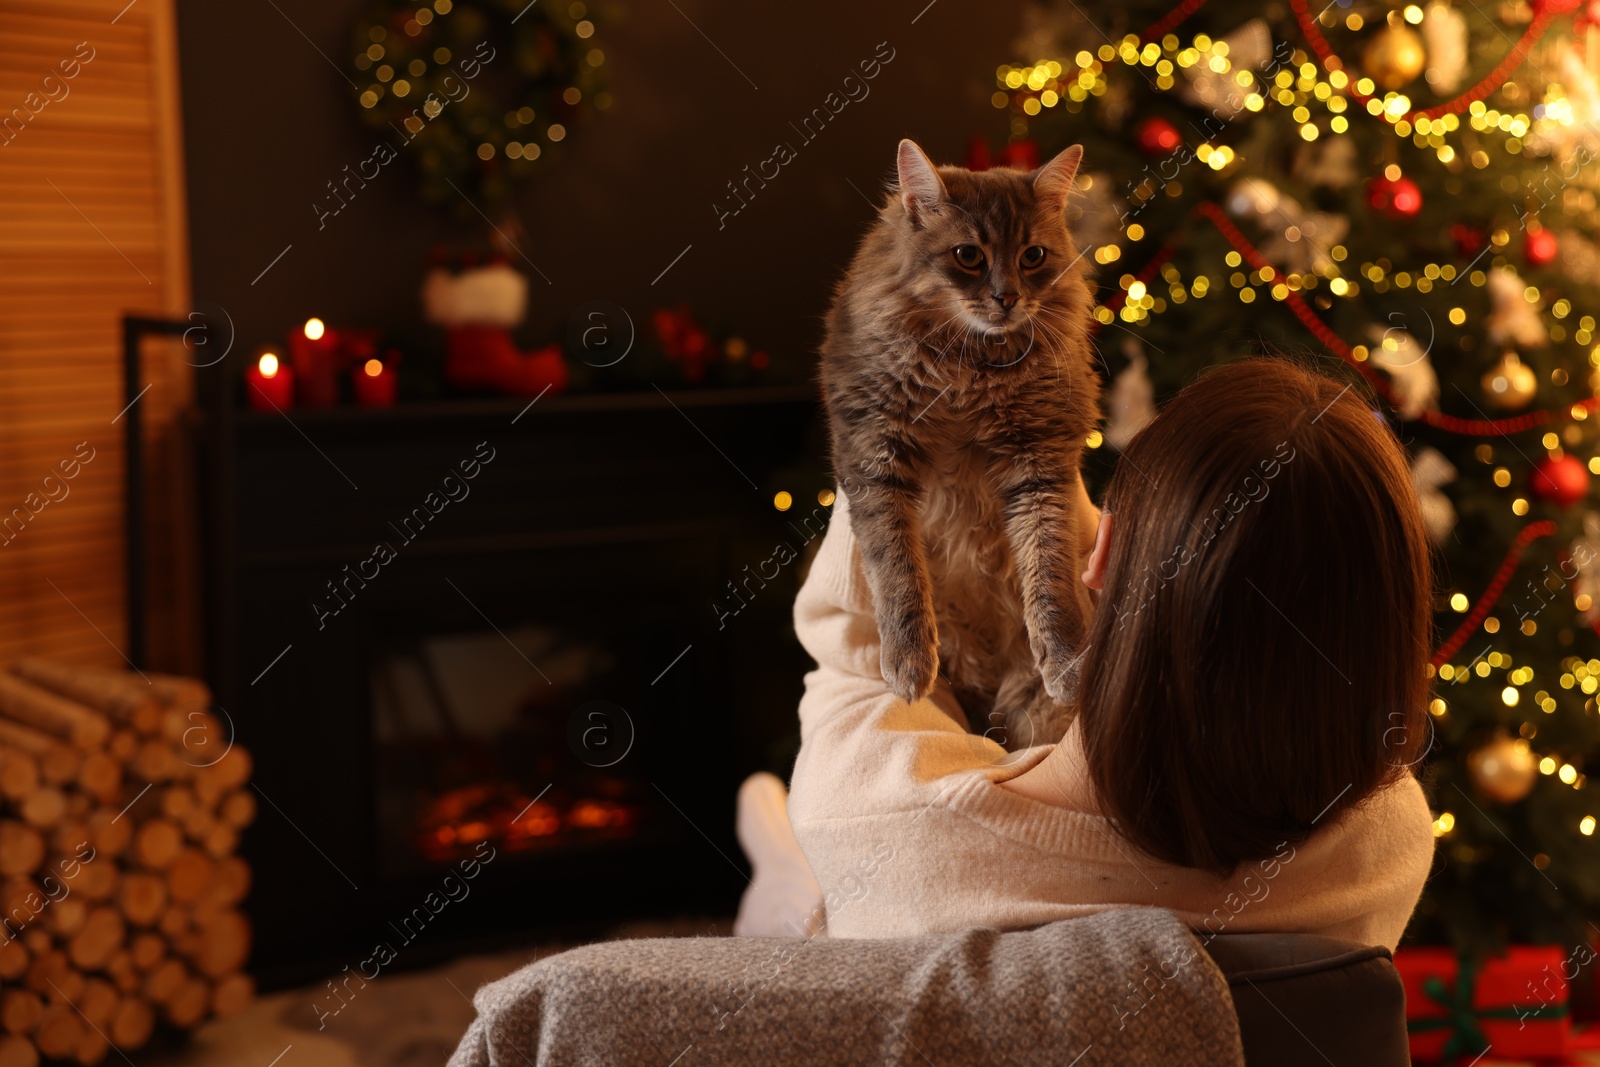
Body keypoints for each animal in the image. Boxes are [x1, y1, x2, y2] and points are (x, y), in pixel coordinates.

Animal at [825, 137, 1100, 748]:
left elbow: (1049, 574)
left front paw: (1067, 666)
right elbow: (897, 572)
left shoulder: (1041, 460)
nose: (1007, 298)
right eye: (968, 255)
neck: (968, 364)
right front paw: (908, 667)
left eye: (1033, 256)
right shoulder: (874, 456)